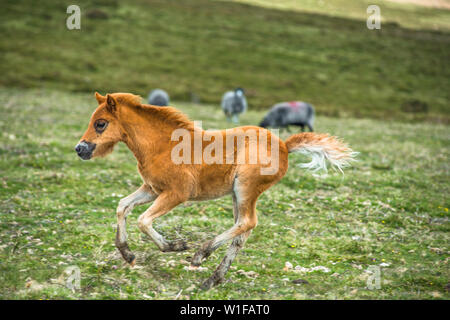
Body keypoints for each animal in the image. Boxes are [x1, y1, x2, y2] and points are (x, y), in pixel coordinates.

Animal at [74, 92, 356, 290]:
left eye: (100, 124)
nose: (80, 149)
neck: (161, 145)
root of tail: (285, 146)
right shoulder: (152, 189)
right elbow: (122, 205)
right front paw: (128, 253)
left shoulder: (176, 193)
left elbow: (143, 220)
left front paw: (175, 245)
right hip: (236, 194)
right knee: (243, 231)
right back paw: (213, 279)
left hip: (244, 188)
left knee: (246, 222)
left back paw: (201, 254)